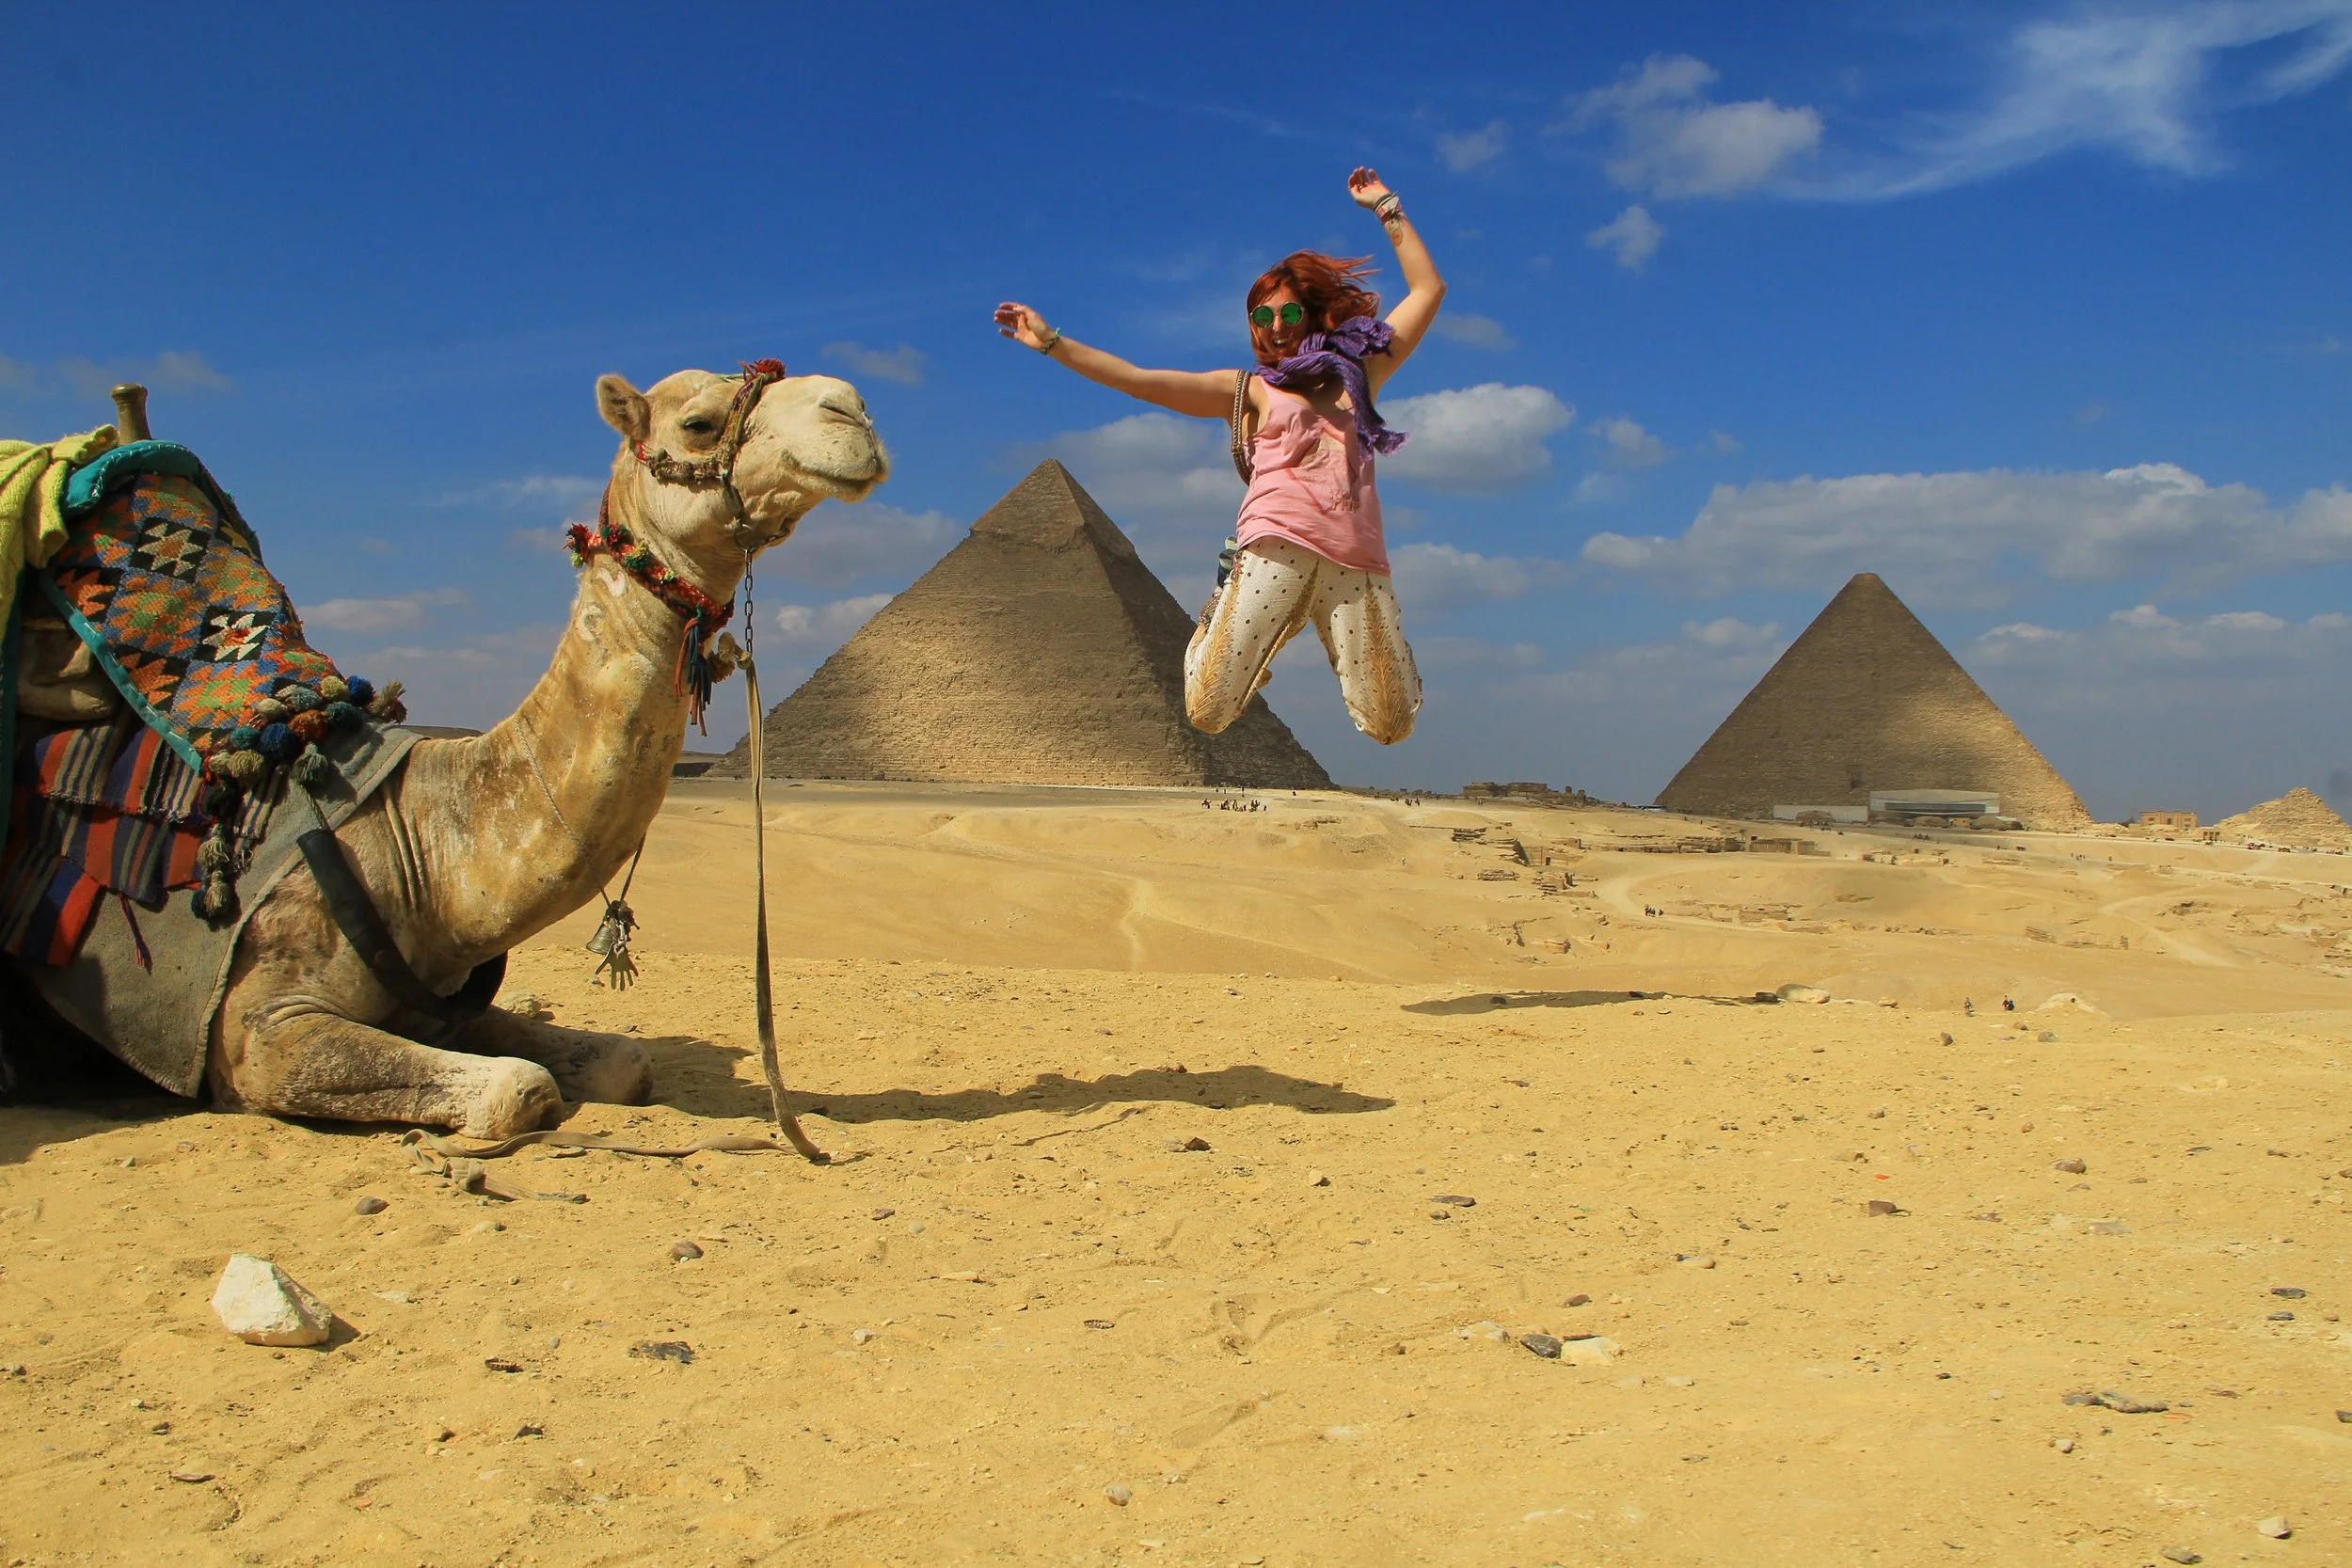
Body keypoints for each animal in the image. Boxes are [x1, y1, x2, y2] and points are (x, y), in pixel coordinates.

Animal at [97, 366, 886, 1135]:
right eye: (698, 422)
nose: (851, 409)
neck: (420, 843)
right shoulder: (256, 1028)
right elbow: (520, 1087)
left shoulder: (438, 1002)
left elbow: (625, 1062)